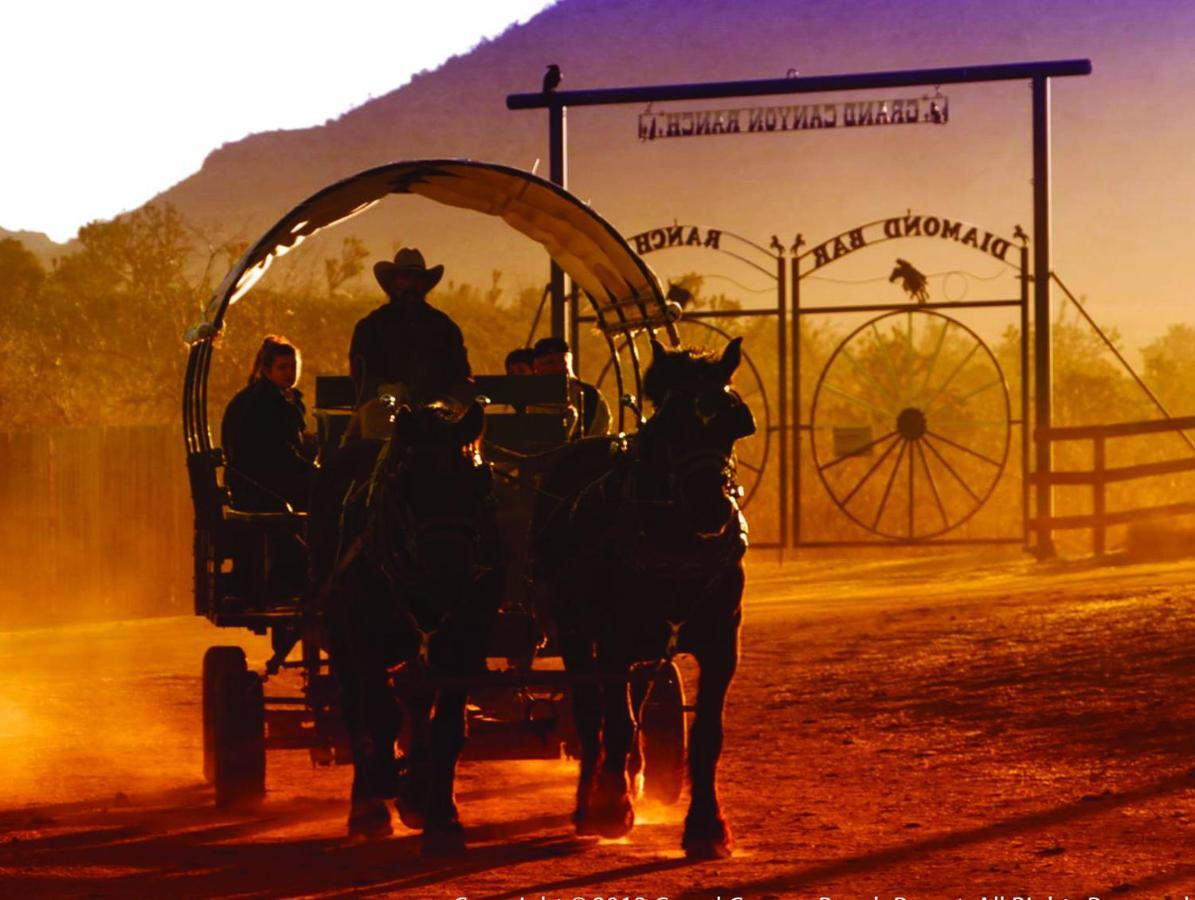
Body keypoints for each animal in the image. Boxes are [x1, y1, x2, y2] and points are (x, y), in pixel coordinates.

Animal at [310, 399, 501, 850]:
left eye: (480, 480)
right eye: (408, 482)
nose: (448, 573)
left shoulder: (464, 640)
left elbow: (447, 726)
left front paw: (441, 815)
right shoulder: (363, 634)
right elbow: (377, 713)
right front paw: (382, 784)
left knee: (415, 704)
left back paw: (416, 789)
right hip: (339, 634)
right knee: (354, 708)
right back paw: (368, 805)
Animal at [535, 337, 755, 855]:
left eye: (735, 421)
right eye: (669, 422)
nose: (711, 506)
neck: (676, 546)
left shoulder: (722, 646)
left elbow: (707, 734)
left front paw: (707, 826)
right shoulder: (613, 644)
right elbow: (614, 721)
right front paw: (611, 809)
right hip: (575, 633)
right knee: (592, 714)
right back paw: (590, 800)